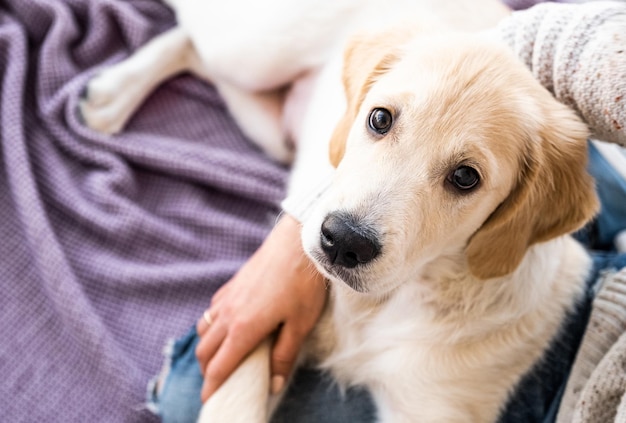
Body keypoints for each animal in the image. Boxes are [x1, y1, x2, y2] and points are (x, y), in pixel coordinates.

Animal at [80, 1, 596, 422]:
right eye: (380, 118)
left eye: (466, 177)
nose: (343, 240)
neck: (381, 304)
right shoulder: (259, 327)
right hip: (254, 49)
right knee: (194, 28)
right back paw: (112, 93)